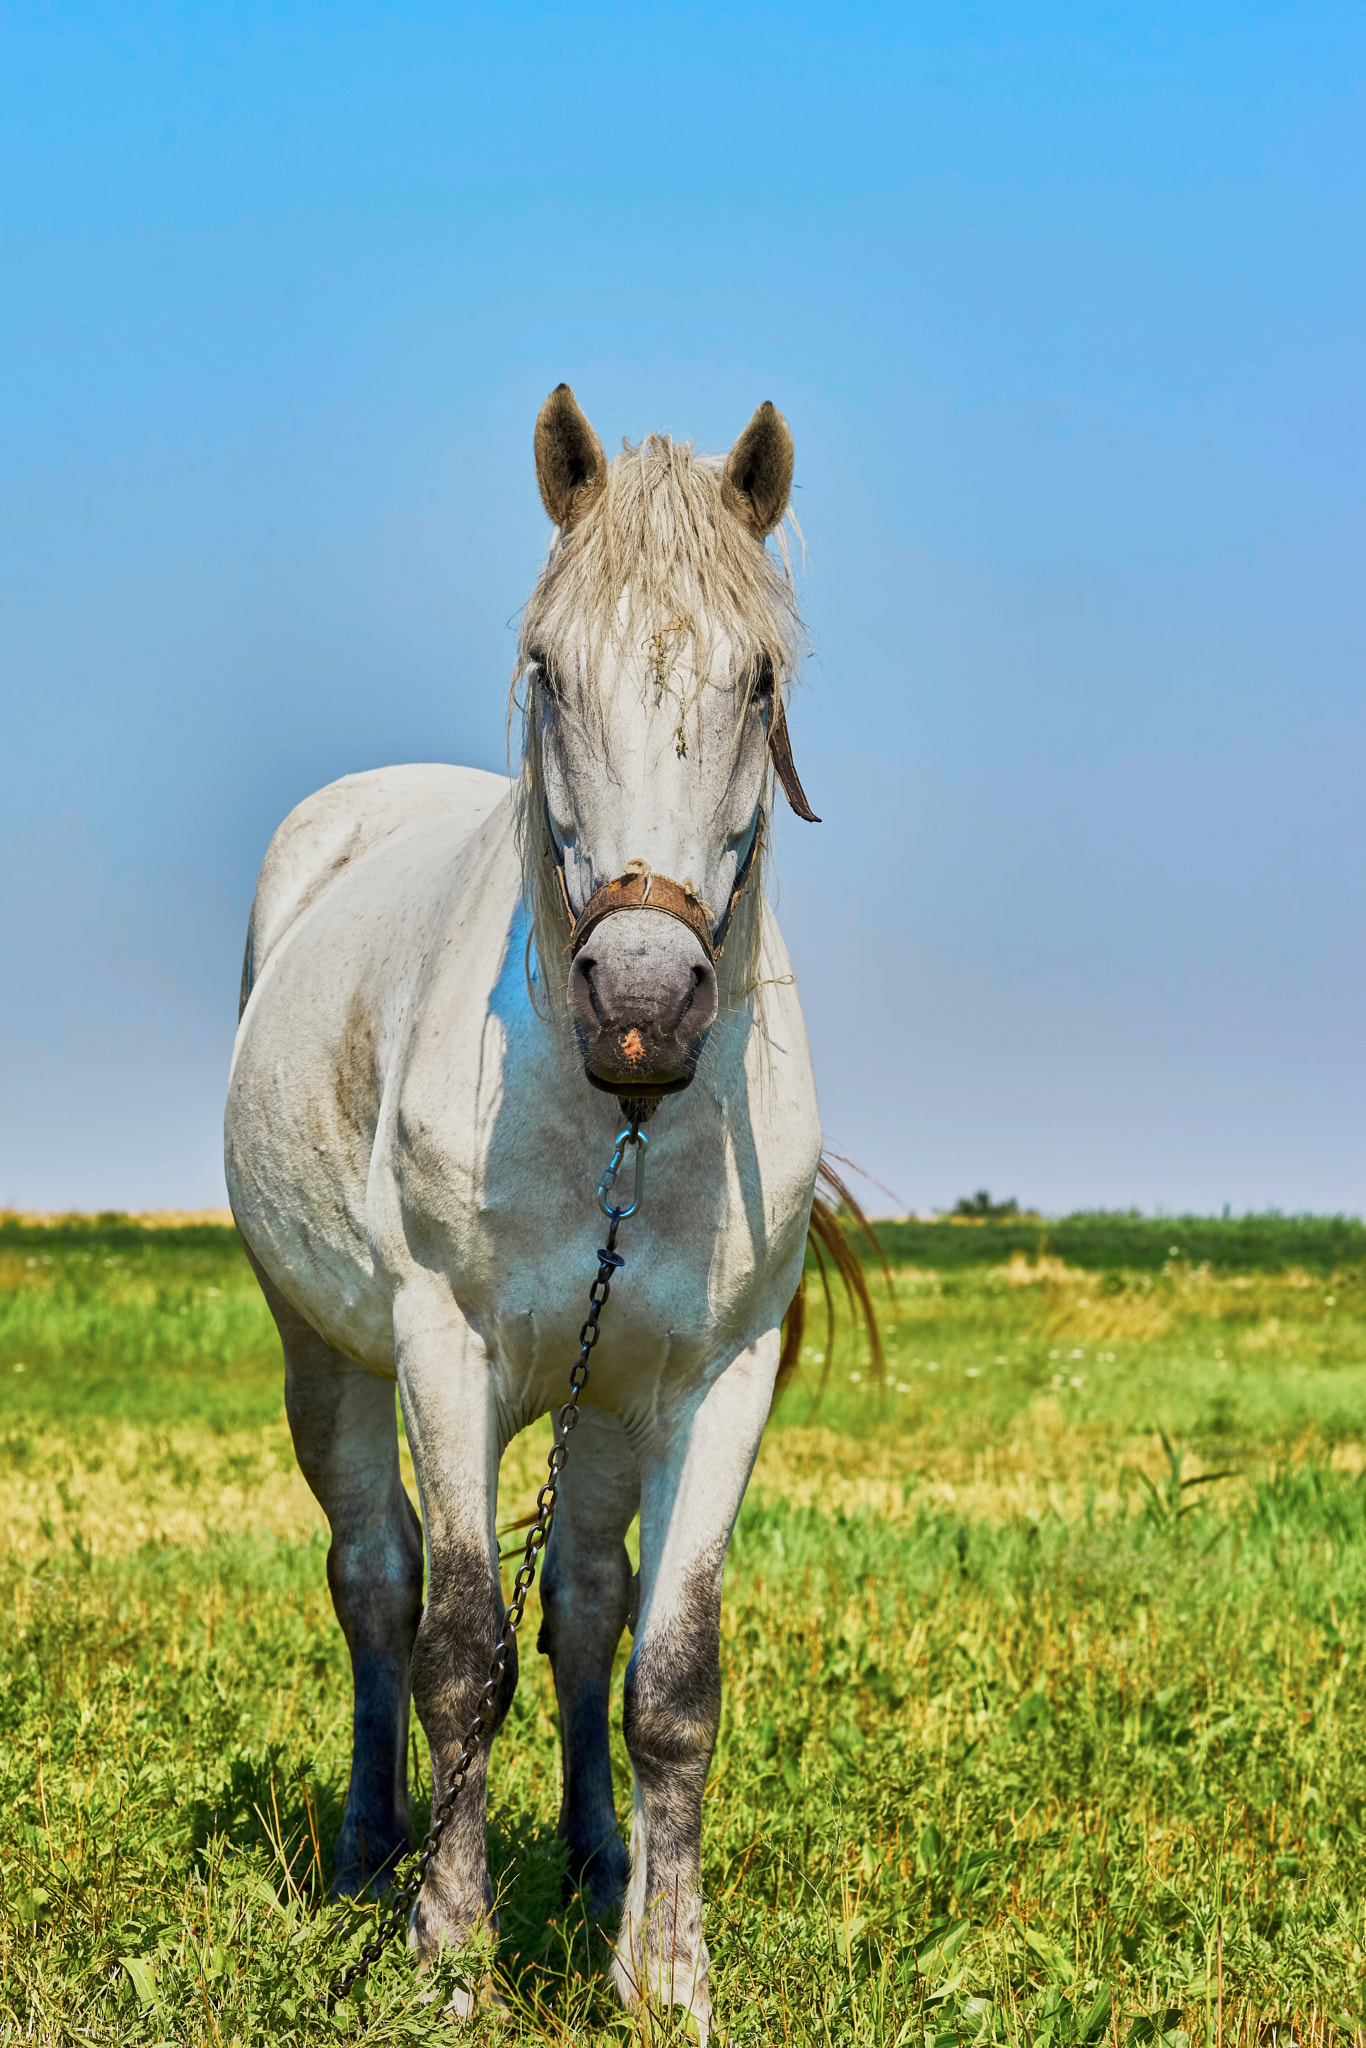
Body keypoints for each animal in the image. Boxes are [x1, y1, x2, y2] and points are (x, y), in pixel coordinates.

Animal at [225, 385, 832, 2040]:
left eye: (760, 678)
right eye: (550, 672)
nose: (640, 1001)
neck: (619, 1126)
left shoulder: (715, 1381)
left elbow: (666, 1676)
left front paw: (666, 1973)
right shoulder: (446, 1353)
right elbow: (455, 1653)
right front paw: (451, 1952)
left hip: (603, 1408)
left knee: (585, 1610)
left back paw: (597, 1859)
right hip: (327, 1356)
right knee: (373, 1587)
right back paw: (374, 1853)